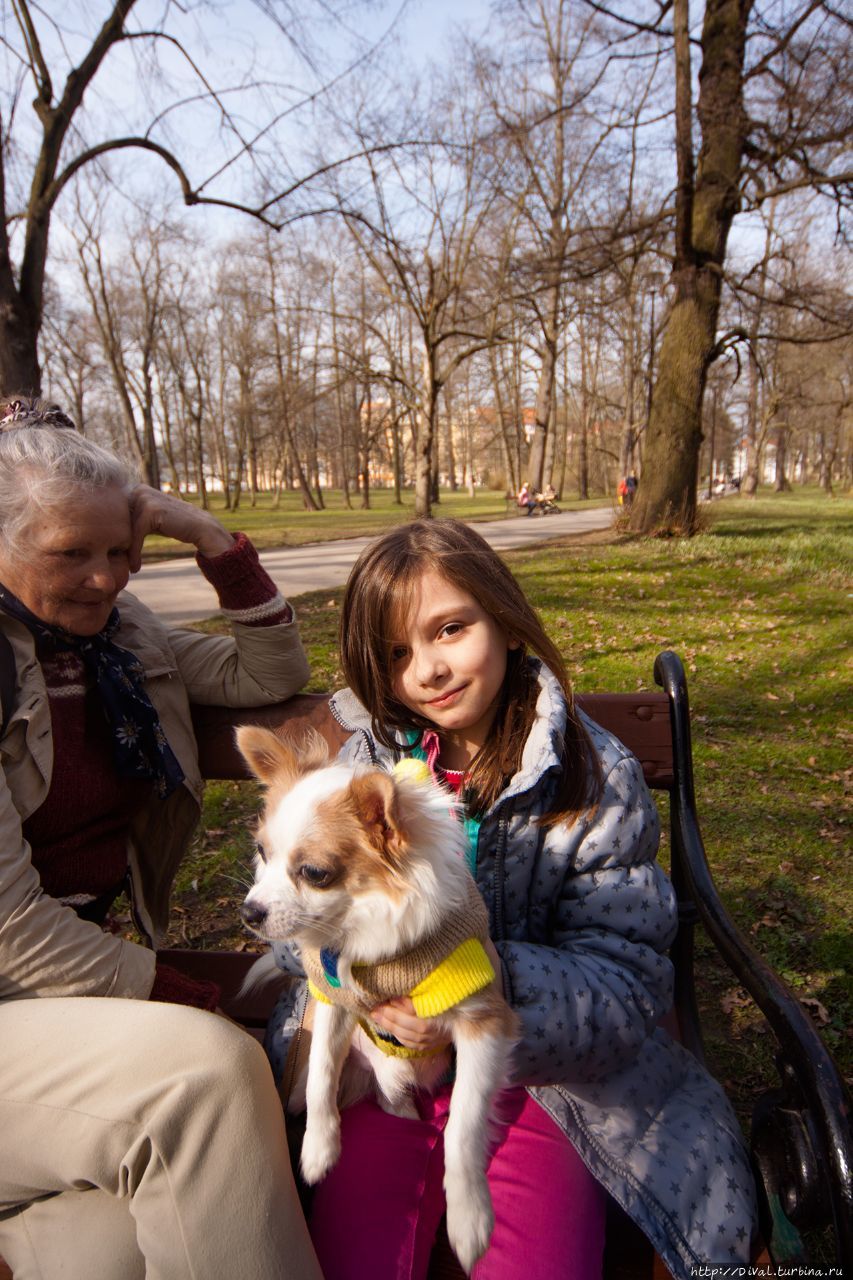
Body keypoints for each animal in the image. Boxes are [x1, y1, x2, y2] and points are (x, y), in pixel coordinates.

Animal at [236, 727, 517, 1274]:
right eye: (261, 852)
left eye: (314, 872)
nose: (250, 913)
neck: (361, 929)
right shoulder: (334, 1001)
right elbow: (321, 1074)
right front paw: (319, 1149)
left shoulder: (484, 1021)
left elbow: (465, 1121)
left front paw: (469, 1218)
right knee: (379, 1098)